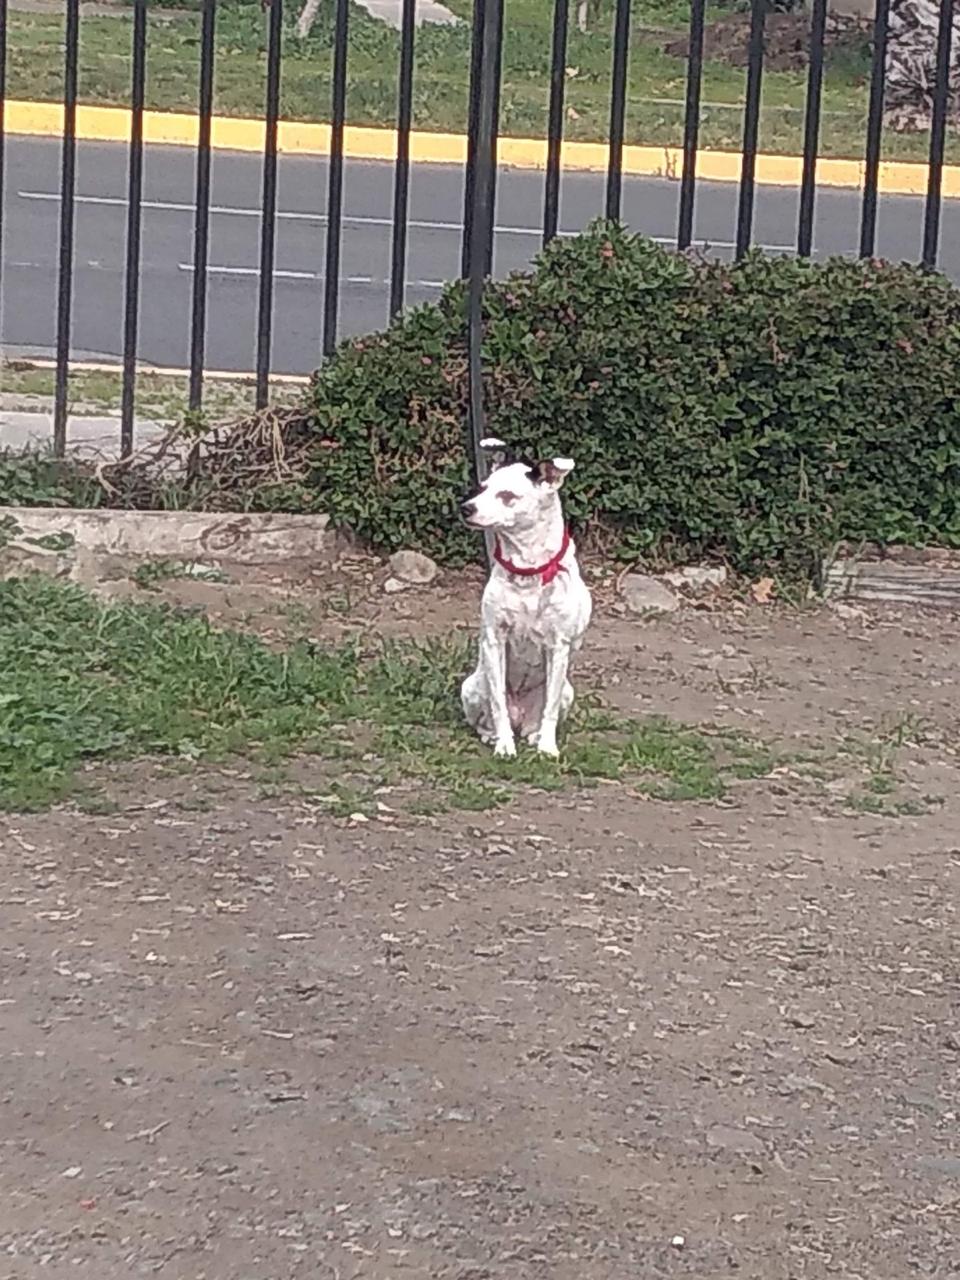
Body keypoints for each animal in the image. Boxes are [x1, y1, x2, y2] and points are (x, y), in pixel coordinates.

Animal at [460, 438, 592, 759]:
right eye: (482, 487)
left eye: (507, 495)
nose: (465, 508)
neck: (527, 570)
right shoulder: (495, 641)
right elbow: (497, 704)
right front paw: (504, 746)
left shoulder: (558, 647)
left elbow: (550, 710)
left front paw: (547, 747)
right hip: (470, 687)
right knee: (488, 717)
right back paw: (494, 736)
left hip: (567, 690)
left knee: (541, 716)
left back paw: (534, 736)